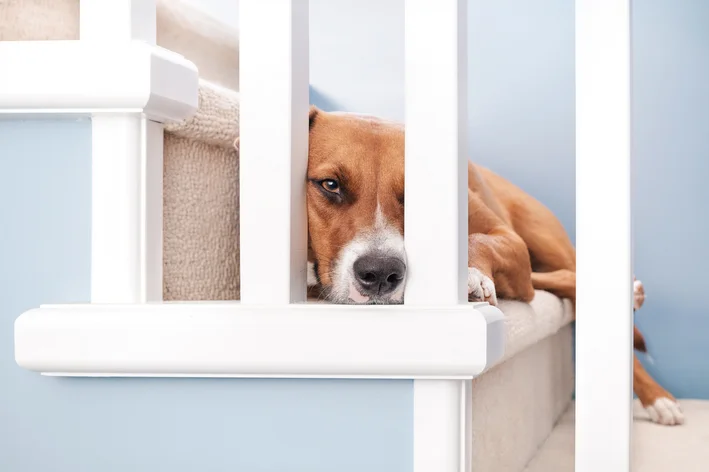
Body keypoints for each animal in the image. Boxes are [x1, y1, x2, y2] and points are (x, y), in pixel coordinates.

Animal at [298, 107, 680, 424]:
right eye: (330, 185)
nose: (380, 274)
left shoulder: (510, 241)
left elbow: (478, 239)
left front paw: (471, 276)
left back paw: (657, 394)